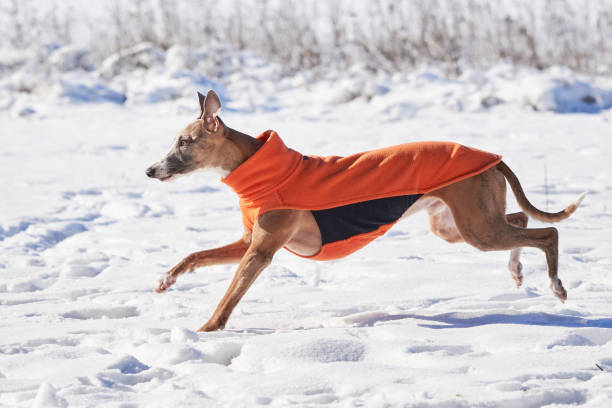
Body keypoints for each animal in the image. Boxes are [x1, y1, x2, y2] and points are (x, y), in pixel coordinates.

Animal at [146, 90, 584, 332]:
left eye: (184, 142)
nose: (149, 171)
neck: (257, 169)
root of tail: (493, 159)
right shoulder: (247, 242)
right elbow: (194, 255)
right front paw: (166, 279)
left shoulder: (260, 251)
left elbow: (229, 297)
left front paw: (207, 330)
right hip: (460, 224)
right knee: (521, 220)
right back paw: (516, 270)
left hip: (476, 227)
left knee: (548, 233)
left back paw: (556, 285)